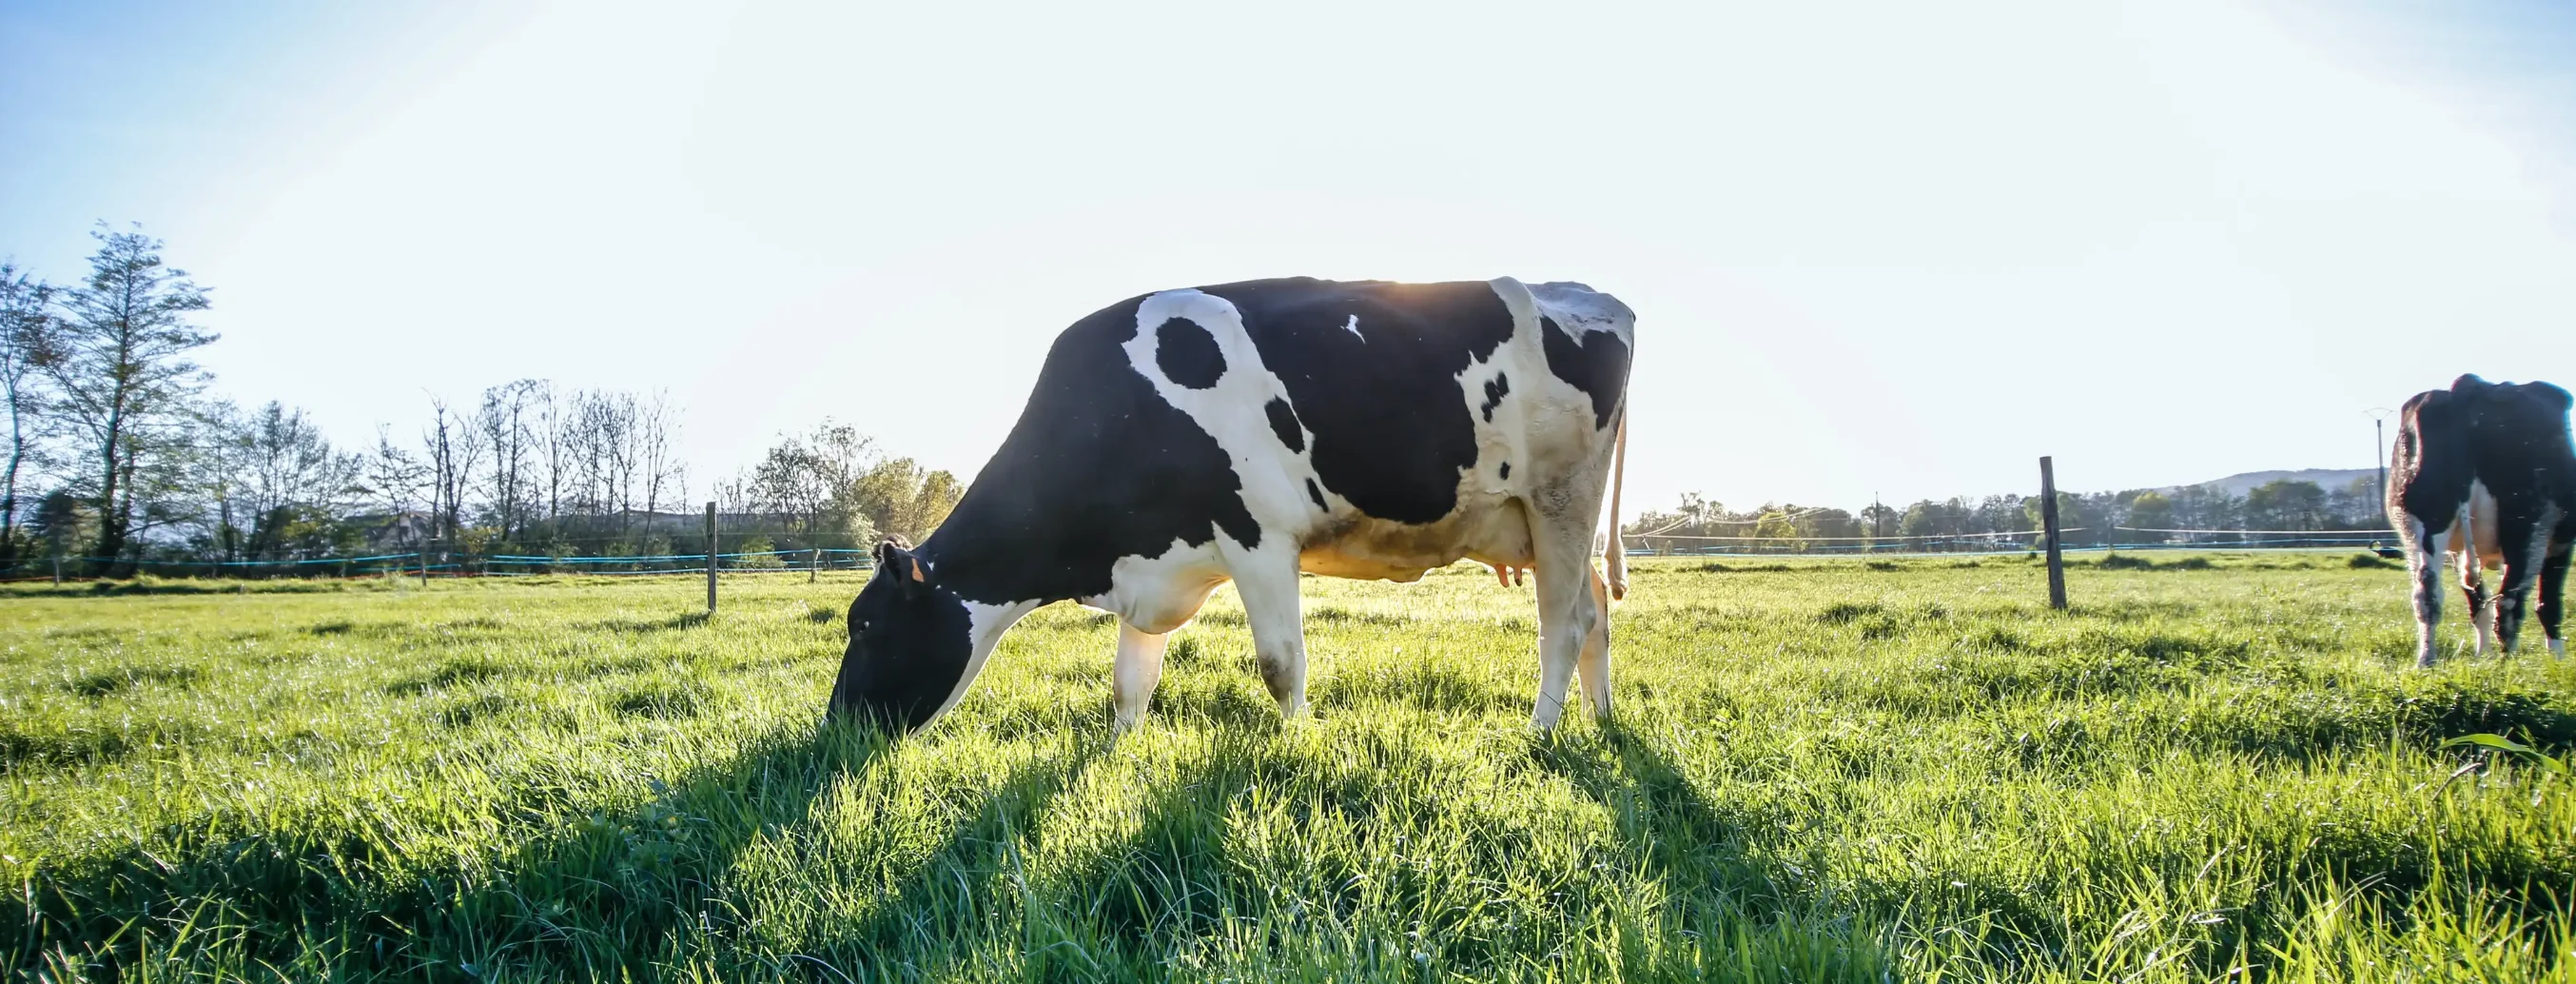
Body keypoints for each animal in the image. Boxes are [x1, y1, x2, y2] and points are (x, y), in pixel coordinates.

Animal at [828, 277, 1634, 733]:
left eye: (863, 626)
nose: (835, 727)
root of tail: (1591, 295)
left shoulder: (1260, 538)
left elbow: (1282, 665)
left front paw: (1299, 746)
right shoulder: (1153, 557)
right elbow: (1129, 683)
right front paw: (1119, 752)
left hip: (1561, 500)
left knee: (1562, 626)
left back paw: (1541, 733)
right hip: (1545, 522)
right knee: (1595, 612)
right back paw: (1601, 720)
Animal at [2386, 373, 2576, 667]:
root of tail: (2469, 386)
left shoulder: (2457, 550)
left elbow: (2476, 602)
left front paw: (2482, 655)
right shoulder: (2562, 541)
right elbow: (2549, 603)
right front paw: (2557, 659)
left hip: (2421, 520)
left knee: (2427, 593)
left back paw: (2427, 660)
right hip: (2528, 523)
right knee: (2509, 601)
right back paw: (2508, 664)